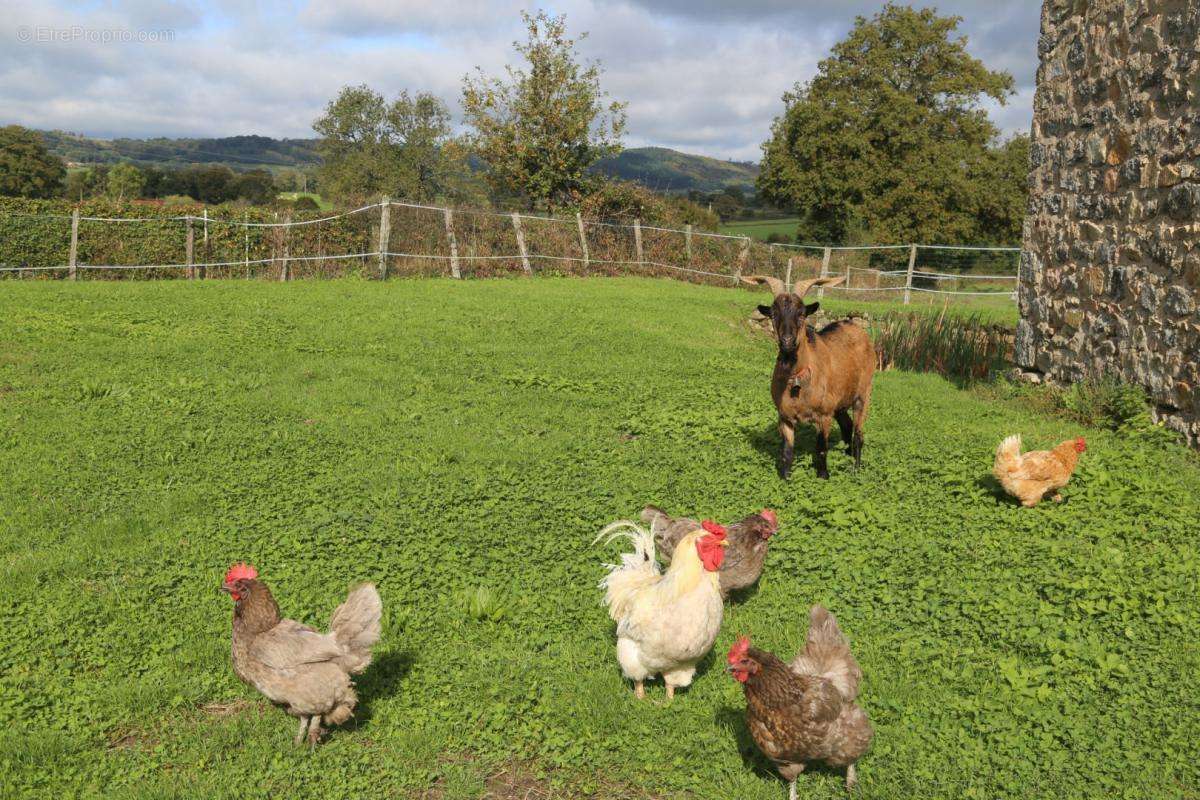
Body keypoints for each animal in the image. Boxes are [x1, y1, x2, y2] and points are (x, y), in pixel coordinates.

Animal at [739, 275, 873, 479]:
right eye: (773, 314)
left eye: (801, 313)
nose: (787, 341)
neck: (797, 380)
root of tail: (856, 327)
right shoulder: (784, 417)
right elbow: (786, 453)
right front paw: (785, 477)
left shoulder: (824, 415)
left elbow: (821, 449)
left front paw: (824, 476)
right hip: (840, 402)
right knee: (847, 426)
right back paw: (847, 454)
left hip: (863, 394)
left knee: (858, 434)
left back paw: (856, 469)